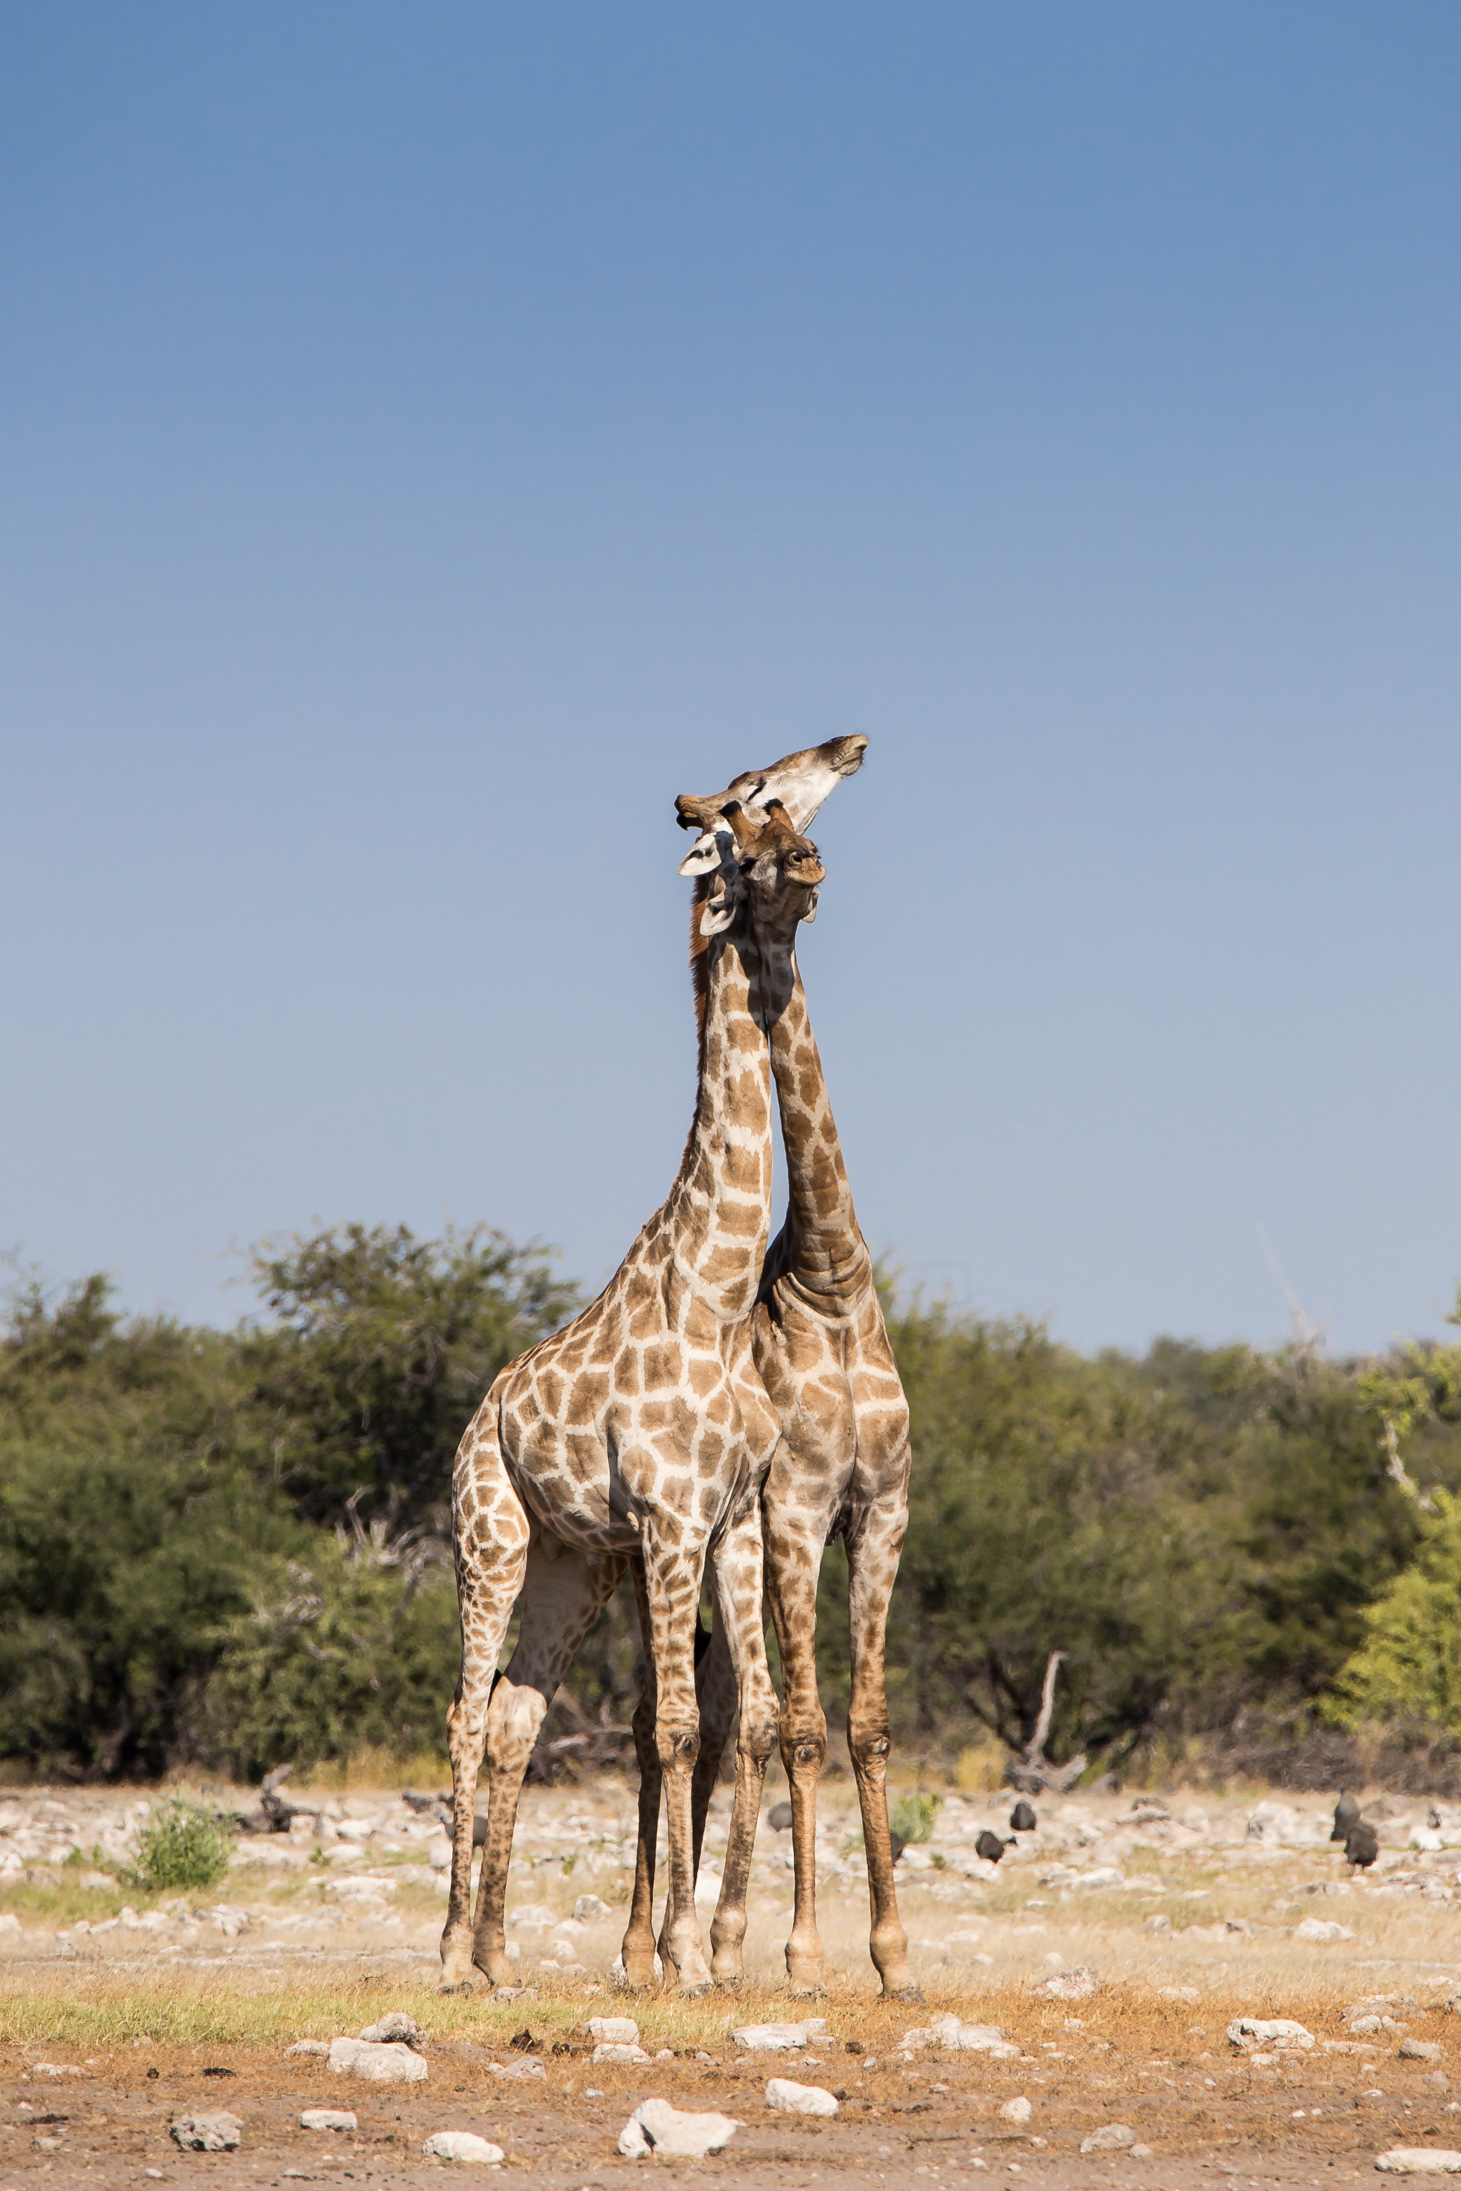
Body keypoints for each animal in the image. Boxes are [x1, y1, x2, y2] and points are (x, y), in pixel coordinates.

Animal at [440, 800, 826, 1995]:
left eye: (789, 814)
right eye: (747, 829)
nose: (807, 862)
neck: (715, 1288)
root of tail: (478, 1416)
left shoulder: (731, 1518)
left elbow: (745, 1718)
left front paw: (700, 1951)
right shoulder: (666, 1517)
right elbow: (673, 1727)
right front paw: (686, 1957)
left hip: (574, 1564)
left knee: (515, 1719)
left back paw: (494, 1956)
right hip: (490, 1539)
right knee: (463, 1715)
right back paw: (444, 1952)